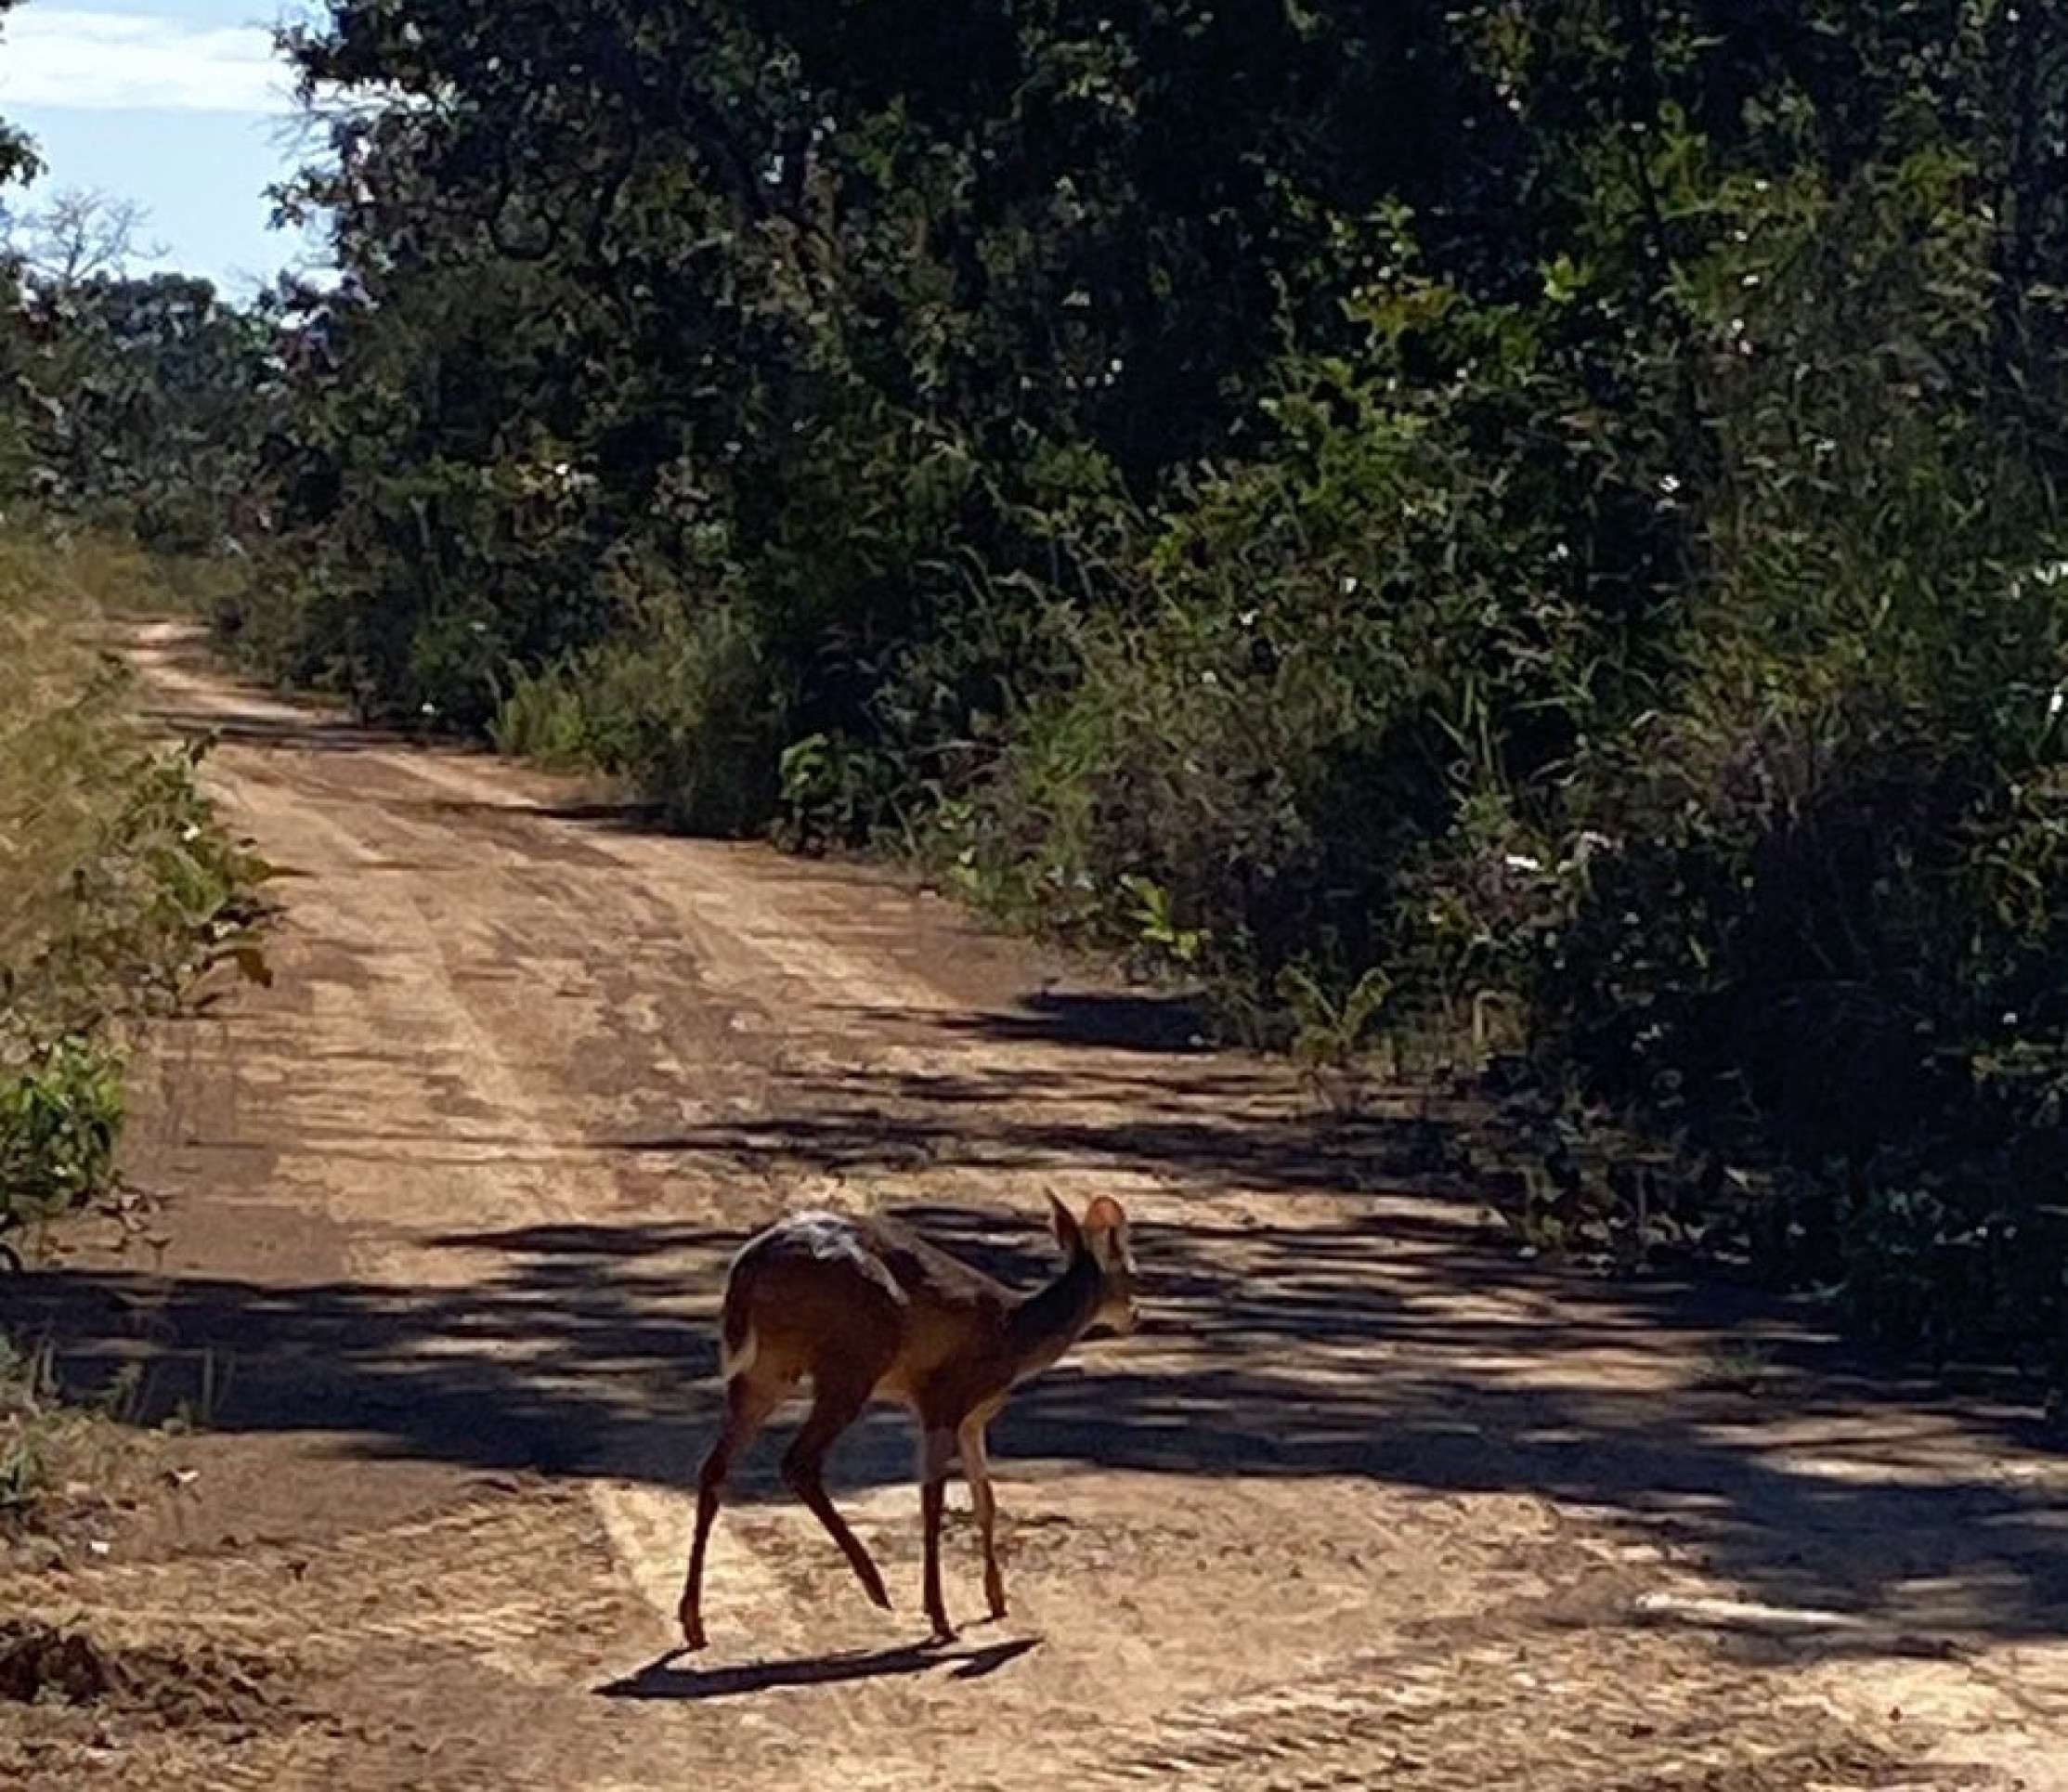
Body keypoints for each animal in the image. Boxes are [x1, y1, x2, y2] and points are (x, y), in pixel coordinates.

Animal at [678, 1193, 1139, 1651]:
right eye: (1132, 1270)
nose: (1135, 1315)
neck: (1013, 1335)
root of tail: (751, 1263)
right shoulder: (941, 1399)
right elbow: (932, 1502)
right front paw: (940, 1616)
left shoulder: (973, 1420)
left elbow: (985, 1501)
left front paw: (996, 1600)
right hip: (855, 1355)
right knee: (798, 1461)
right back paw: (876, 1586)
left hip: (768, 1368)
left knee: (714, 1467)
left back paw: (693, 1622)